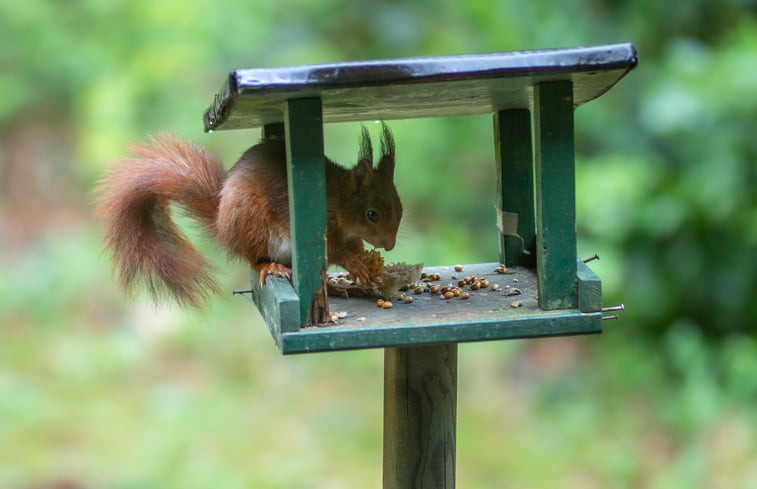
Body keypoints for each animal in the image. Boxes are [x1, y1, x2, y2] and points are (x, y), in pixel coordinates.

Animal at [96, 123, 402, 304]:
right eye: (372, 215)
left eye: (400, 209)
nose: (390, 246)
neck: (338, 201)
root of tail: (222, 225)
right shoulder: (320, 228)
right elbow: (335, 251)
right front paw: (356, 264)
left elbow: (353, 246)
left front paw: (368, 265)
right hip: (252, 224)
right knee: (254, 259)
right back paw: (272, 267)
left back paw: (335, 287)